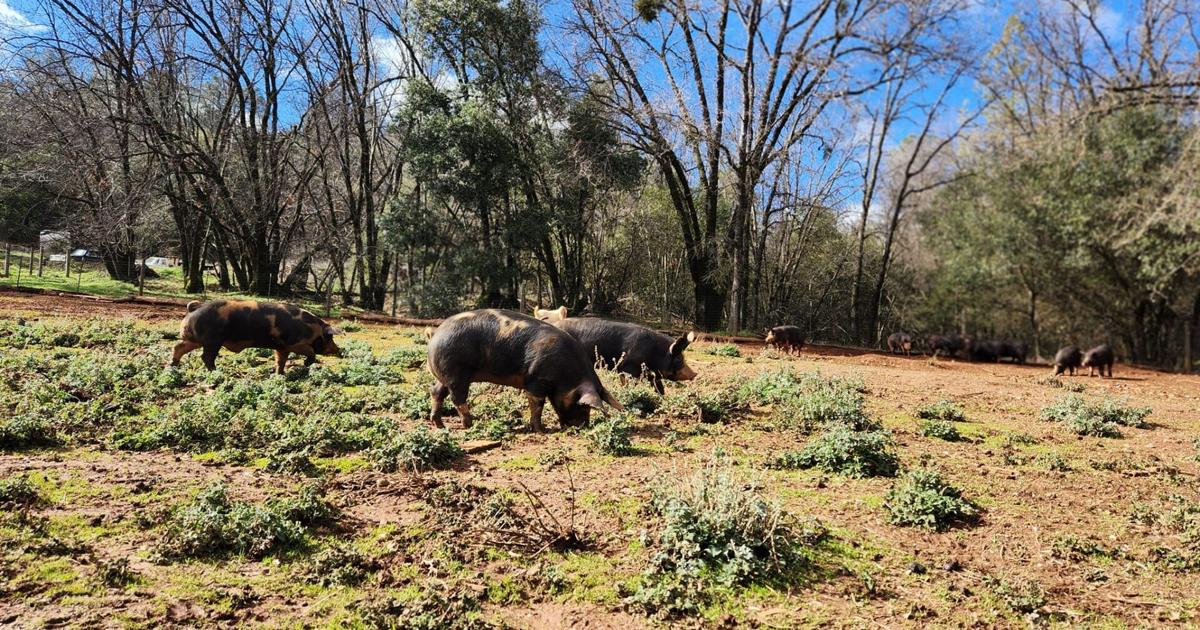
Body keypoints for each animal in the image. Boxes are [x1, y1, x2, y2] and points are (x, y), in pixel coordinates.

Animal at [171, 300, 342, 374]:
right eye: (330, 338)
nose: (339, 350)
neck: (314, 329)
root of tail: (195, 308)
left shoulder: (281, 347)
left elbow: (281, 360)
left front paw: (279, 375)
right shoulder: (296, 343)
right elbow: (311, 353)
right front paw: (306, 364)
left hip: (195, 339)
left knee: (178, 347)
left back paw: (173, 366)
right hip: (212, 340)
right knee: (206, 356)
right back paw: (216, 372)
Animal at [427, 309, 622, 432]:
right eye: (582, 406)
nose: (583, 426)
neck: (568, 375)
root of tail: (436, 336)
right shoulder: (536, 380)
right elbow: (537, 404)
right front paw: (541, 430)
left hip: (447, 375)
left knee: (436, 391)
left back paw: (440, 425)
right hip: (457, 372)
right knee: (457, 398)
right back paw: (470, 424)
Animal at [553, 318, 697, 394]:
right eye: (678, 359)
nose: (695, 374)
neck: (656, 352)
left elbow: (658, 386)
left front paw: (661, 397)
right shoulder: (627, 368)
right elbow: (627, 383)